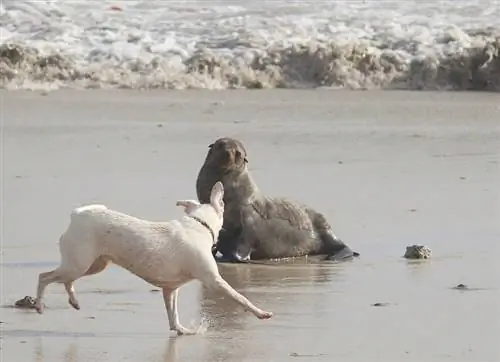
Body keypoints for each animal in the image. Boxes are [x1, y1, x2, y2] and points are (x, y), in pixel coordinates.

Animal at [34, 182, 274, 336]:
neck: (199, 224)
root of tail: (77, 215)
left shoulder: (170, 289)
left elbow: (173, 314)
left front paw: (181, 330)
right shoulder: (214, 281)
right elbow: (240, 297)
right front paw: (261, 313)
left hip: (94, 265)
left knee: (66, 280)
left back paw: (73, 301)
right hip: (79, 264)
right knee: (44, 277)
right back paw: (39, 305)